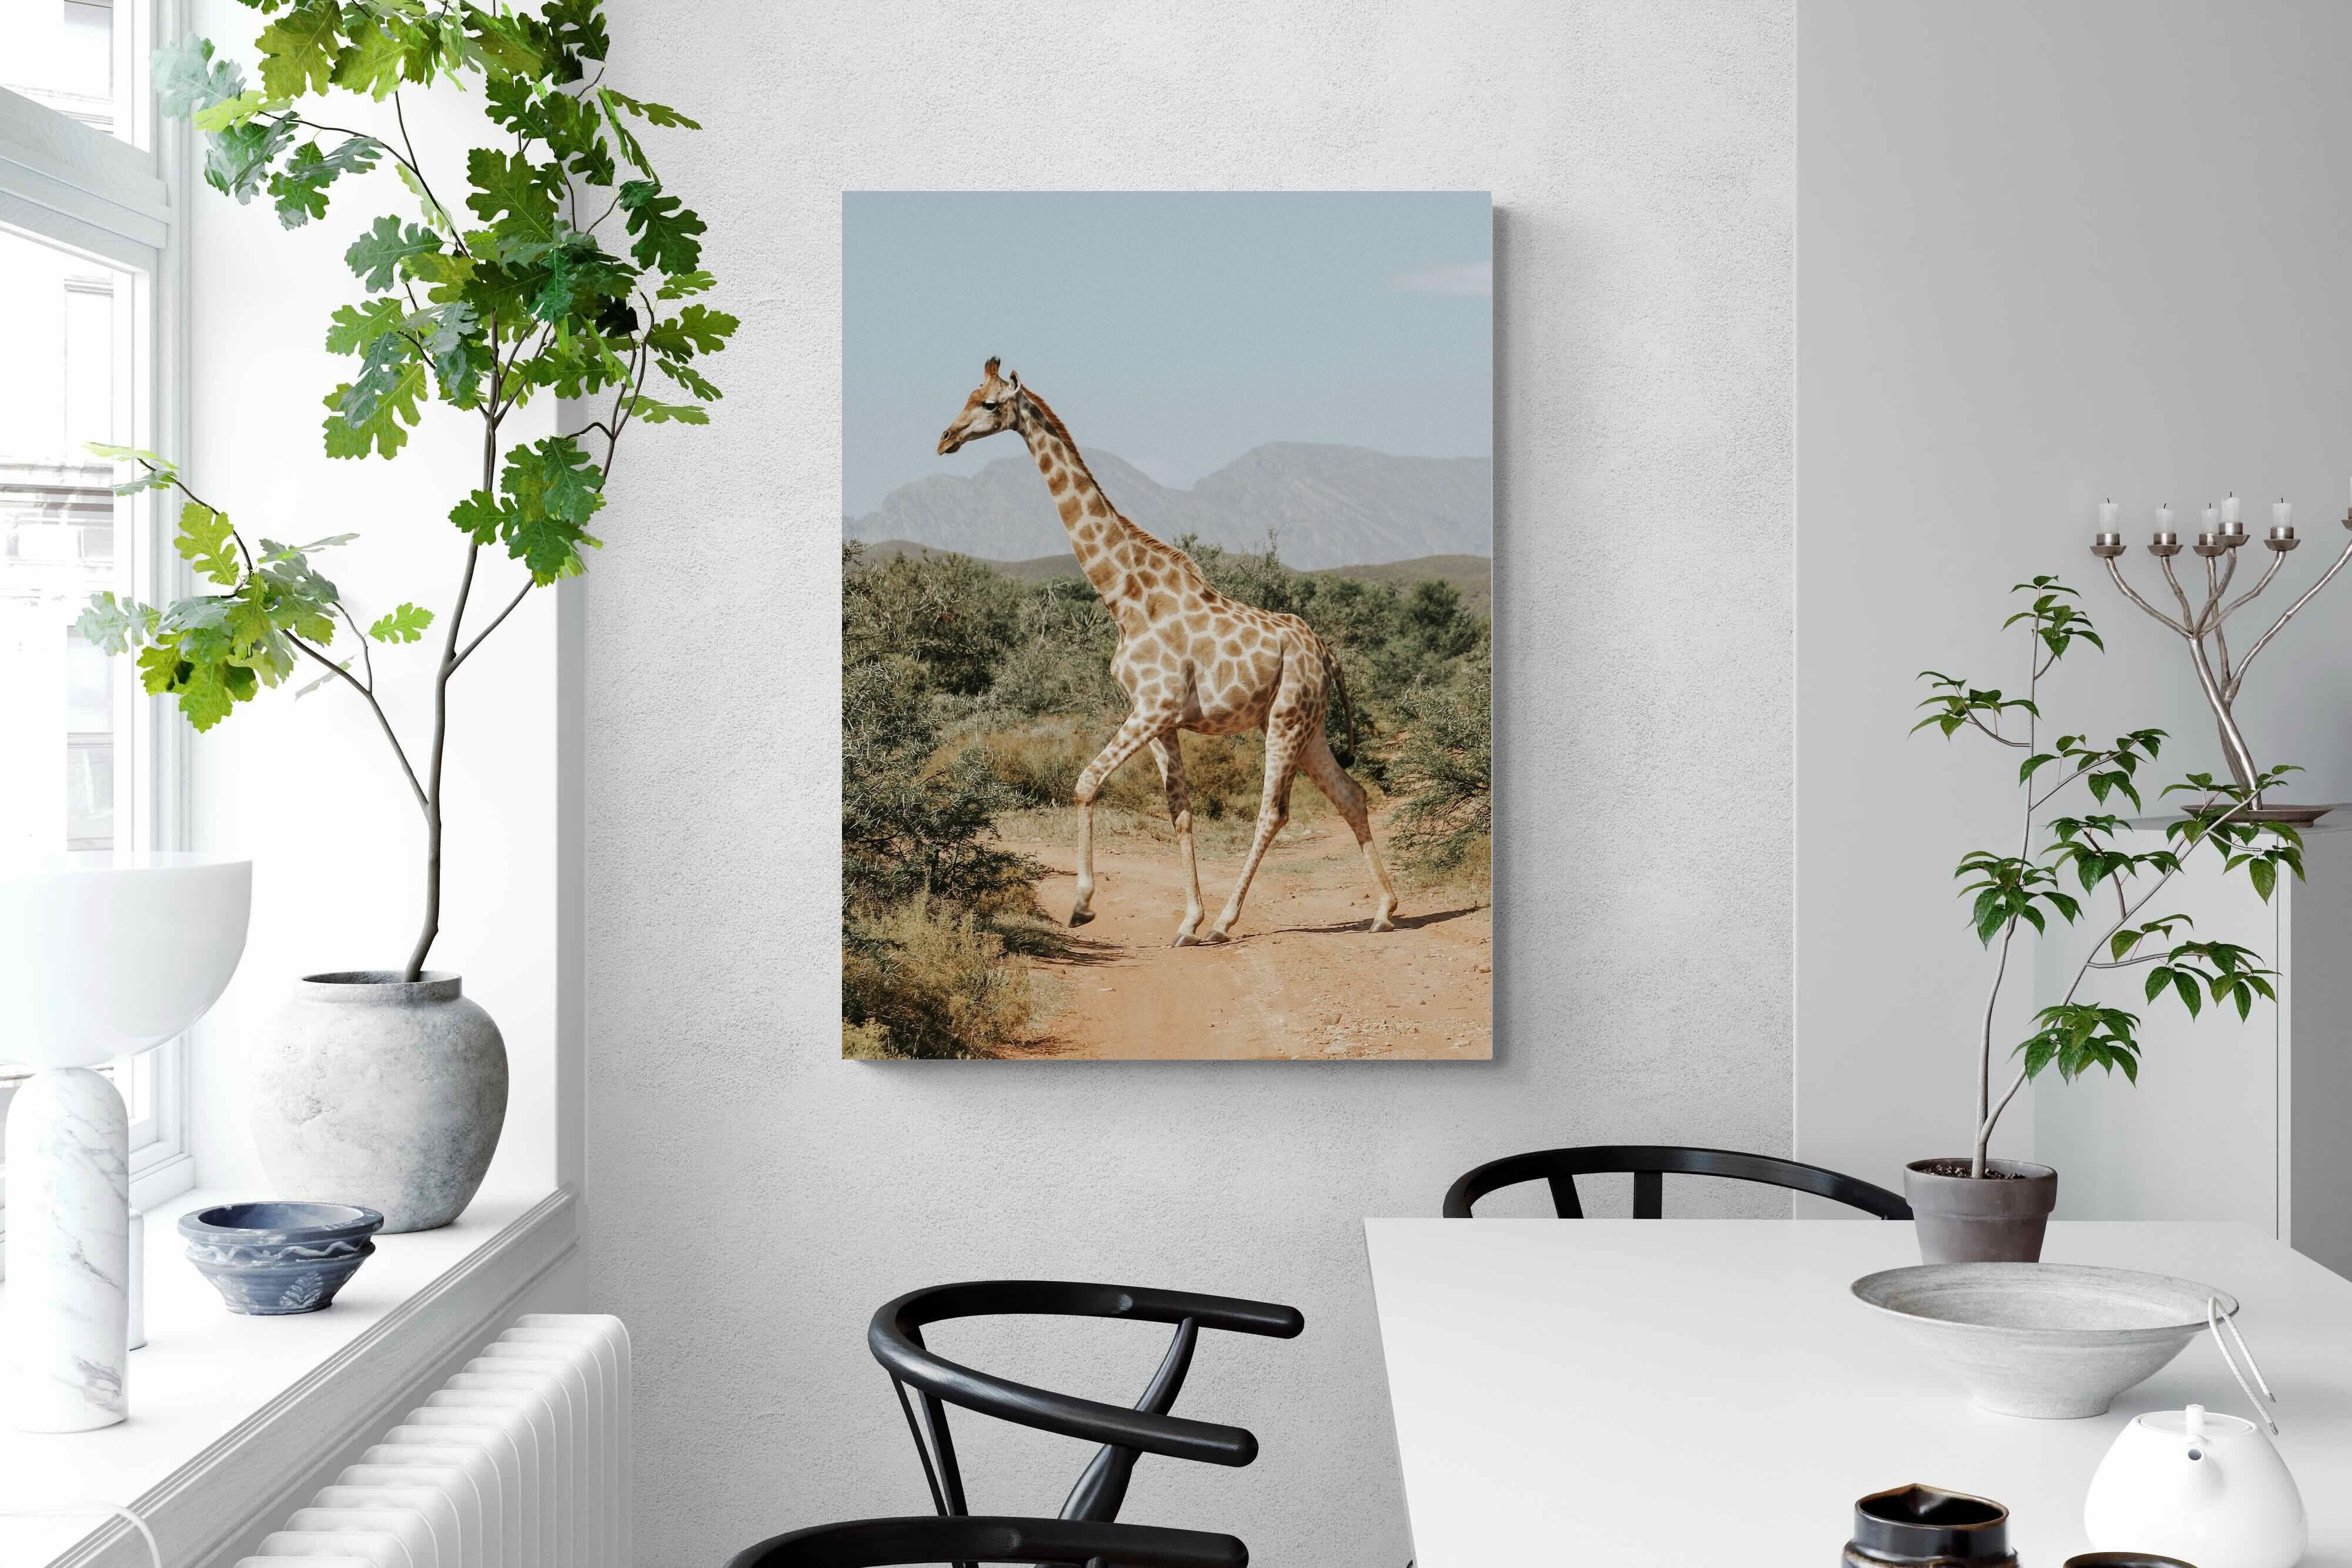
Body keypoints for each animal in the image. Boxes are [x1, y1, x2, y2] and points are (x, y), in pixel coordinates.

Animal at [938, 357, 1401, 946]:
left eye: (990, 404)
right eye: (966, 395)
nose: (945, 439)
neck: (1125, 597)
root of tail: (1326, 653)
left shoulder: (1153, 707)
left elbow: (1086, 782)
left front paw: (1083, 905)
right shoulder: (1159, 719)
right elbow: (1179, 811)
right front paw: (1186, 920)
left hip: (1286, 719)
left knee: (1273, 812)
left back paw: (1228, 922)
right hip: (1309, 725)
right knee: (1351, 794)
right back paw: (1384, 909)